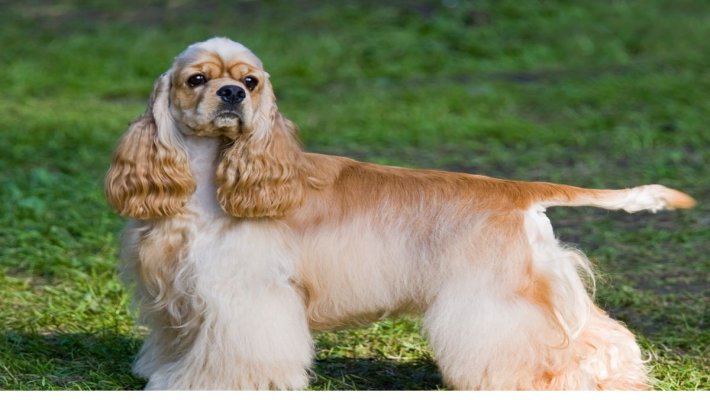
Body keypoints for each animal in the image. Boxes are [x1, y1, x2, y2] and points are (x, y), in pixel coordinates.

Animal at [104, 36, 696, 388]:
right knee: (599, 336)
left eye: (250, 81)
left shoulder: (245, 295)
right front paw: (165, 375)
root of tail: (516, 190)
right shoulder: (175, 291)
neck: (208, 179)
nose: (232, 94)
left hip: (497, 300)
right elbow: (176, 341)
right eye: (196, 79)